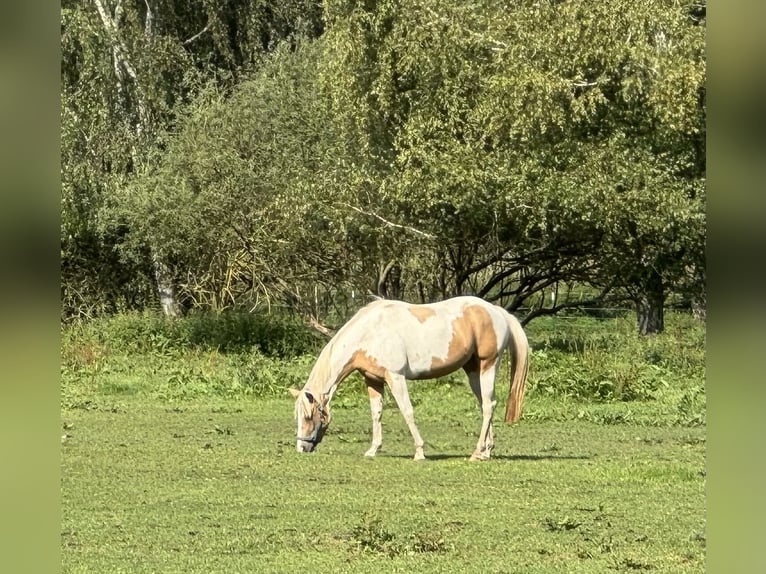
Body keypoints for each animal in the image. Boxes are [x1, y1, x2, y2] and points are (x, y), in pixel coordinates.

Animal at [292, 296, 532, 464]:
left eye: (308, 416)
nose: (301, 449)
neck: (369, 332)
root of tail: (496, 312)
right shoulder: (373, 380)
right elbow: (376, 414)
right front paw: (373, 450)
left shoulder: (396, 377)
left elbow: (407, 412)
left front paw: (419, 452)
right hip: (473, 370)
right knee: (485, 405)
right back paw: (486, 451)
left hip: (487, 366)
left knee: (489, 405)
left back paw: (476, 452)